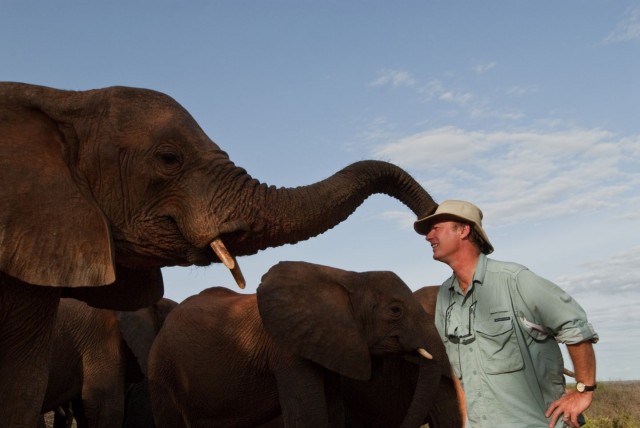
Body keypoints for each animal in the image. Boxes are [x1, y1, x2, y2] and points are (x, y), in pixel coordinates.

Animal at [146, 260, 456, 428]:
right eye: (395, 311)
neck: (348, 276)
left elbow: (332, 414)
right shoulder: (287, 350)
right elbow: (309, 416)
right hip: (162, 374)